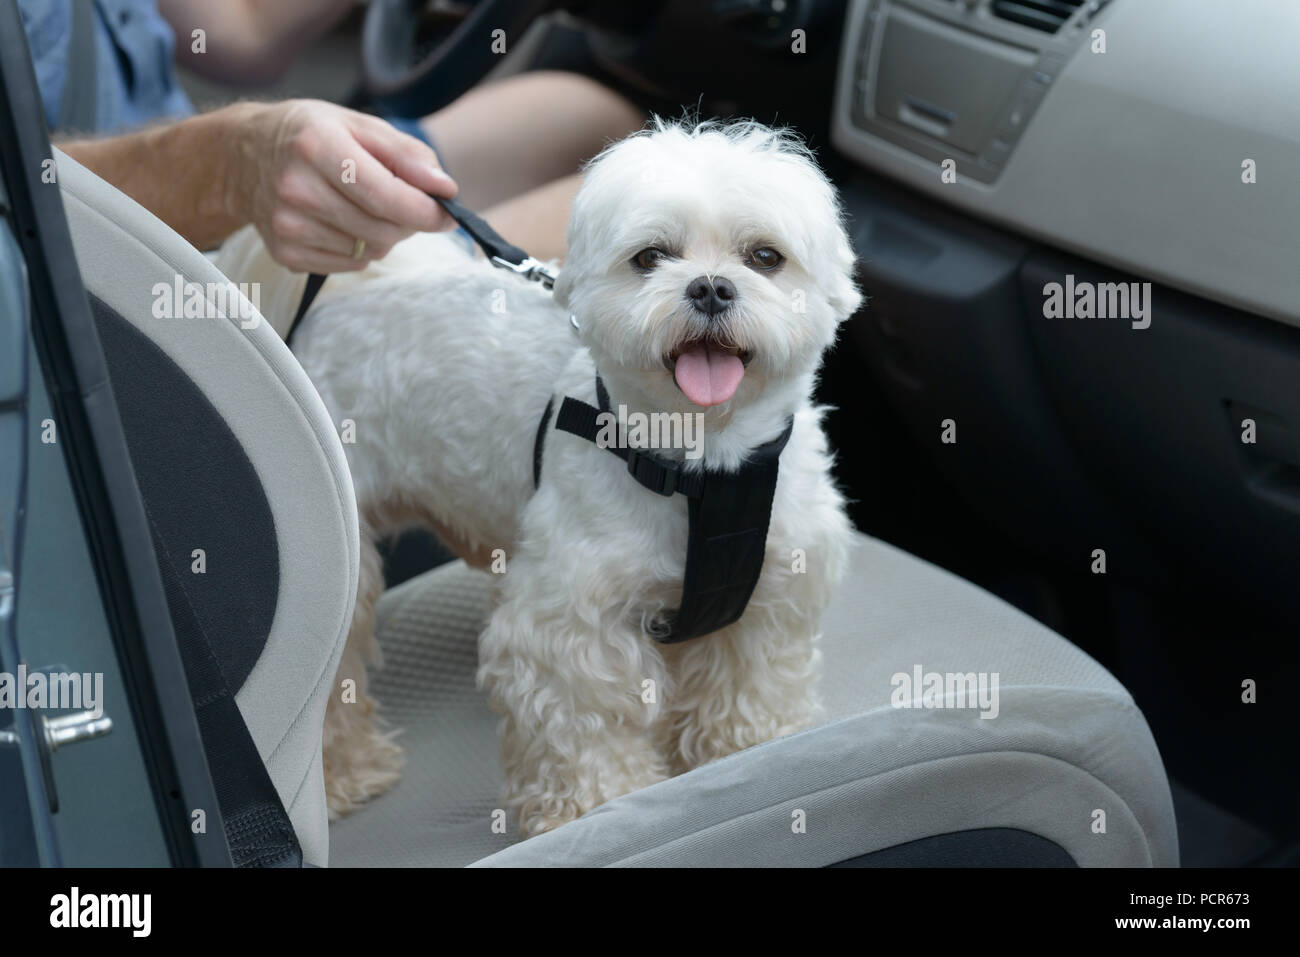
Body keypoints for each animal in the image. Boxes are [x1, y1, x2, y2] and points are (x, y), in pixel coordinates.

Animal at [243, 121, 863, 837]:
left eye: (765, 257)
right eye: (650, 257)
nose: (710, 287)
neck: (701, 466)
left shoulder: (773, 590)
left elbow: (750, 680)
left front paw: (750, 747)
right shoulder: (567, 622)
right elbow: (583, 714)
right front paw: (599, 804)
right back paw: (345, 773)